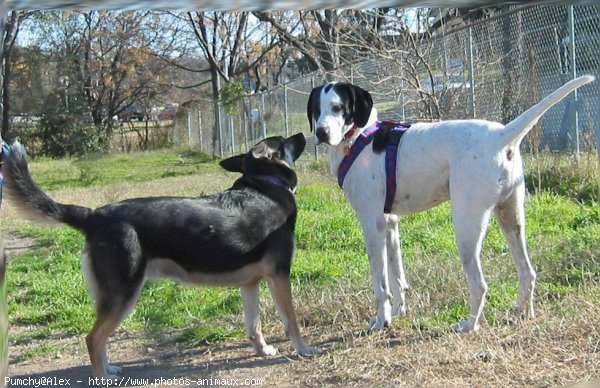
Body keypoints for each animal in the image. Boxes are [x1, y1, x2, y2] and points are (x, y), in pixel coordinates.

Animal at [4, 133, 316, 376]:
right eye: (285, 140)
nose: (304, 133)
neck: (266, 184)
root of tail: (94, 215)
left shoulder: (249, 284)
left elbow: (254, 325)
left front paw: (262, 350)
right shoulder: (279, 276)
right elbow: (291, 320)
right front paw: (303, 349)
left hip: (109, 296)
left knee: (100, 338)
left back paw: (109, 367)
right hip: (124, 293)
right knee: (92, 338)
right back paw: (102, 376)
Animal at [310, 76, 596, 334]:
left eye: (338, 107)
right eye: (316, 110)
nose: (320, 133)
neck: (358, 138)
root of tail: (501, 134)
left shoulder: (373, 225)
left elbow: (381, 286)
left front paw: (382, 321)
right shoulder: (390, 224)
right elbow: (397, 277)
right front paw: (400, 311)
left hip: (467, 228)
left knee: (480, 285)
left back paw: (470, 325)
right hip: (511, 219)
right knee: (528, 272)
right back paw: (523, 313)